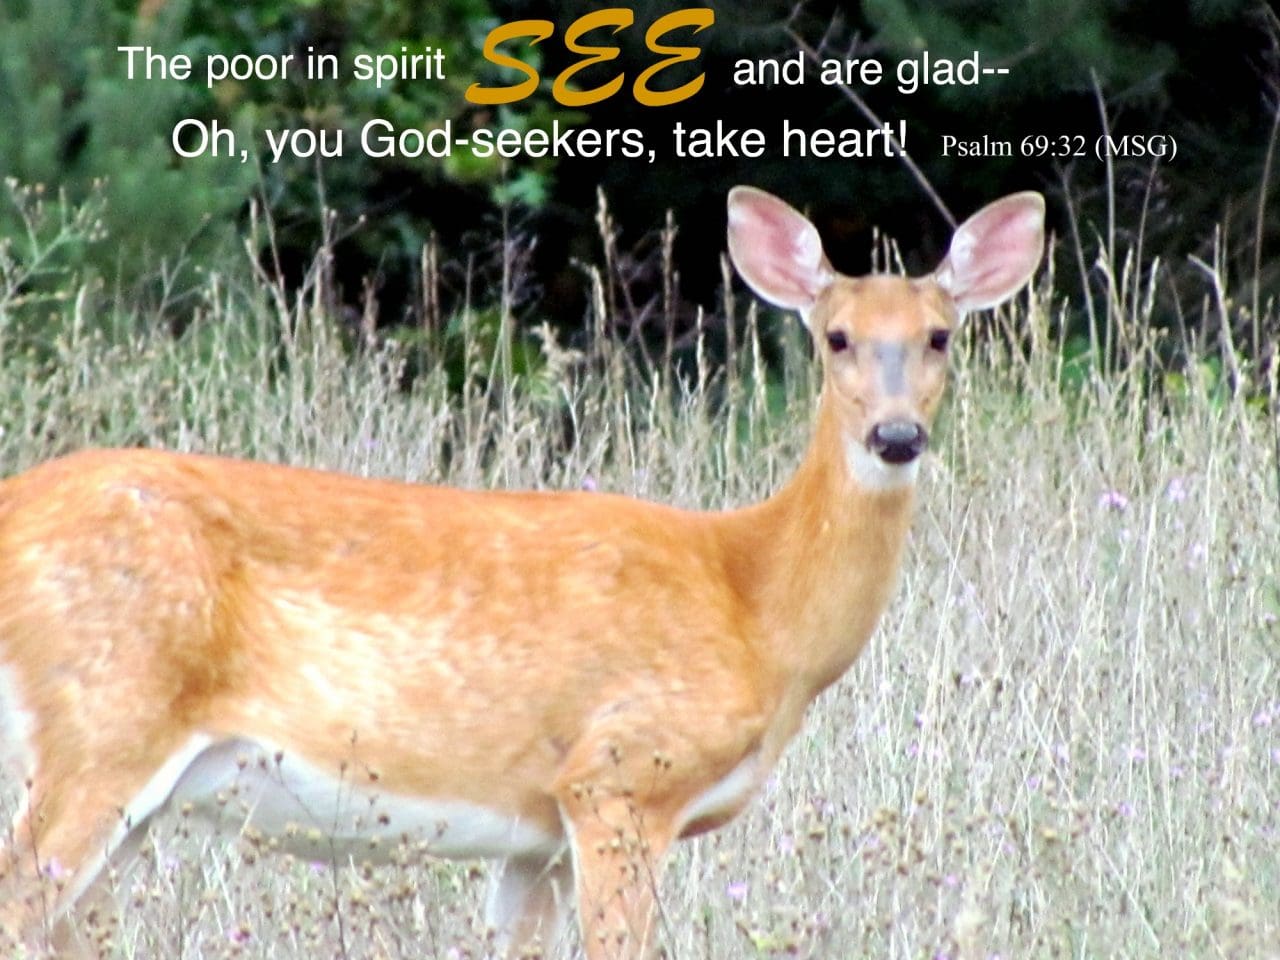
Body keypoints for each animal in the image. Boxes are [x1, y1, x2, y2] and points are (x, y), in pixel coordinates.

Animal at [0, 185, 1044, 958]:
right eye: (835, 338)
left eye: (941, 335)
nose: (896, 435)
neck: (755, 602)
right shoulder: (619, 776)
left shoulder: (533, 835)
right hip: (102, 719)